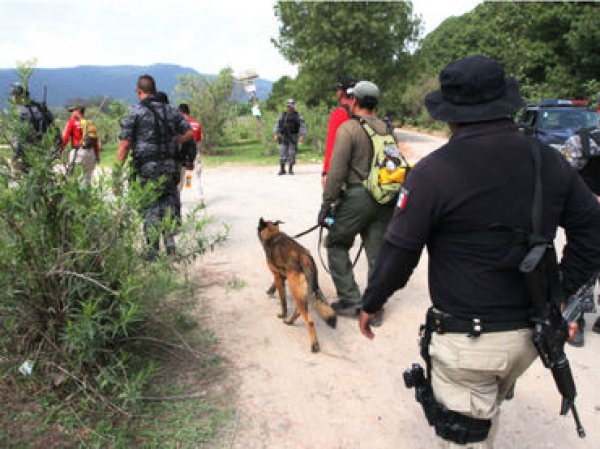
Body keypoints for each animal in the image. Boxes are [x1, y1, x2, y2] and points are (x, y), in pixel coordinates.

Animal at [255, 219, 336, 352]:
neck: (273, 234)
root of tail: (304, 257)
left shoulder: (277, 276)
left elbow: (283, 301)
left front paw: (282, 314)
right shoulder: (281, 275)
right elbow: (275, 286)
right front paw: (270, 290)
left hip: (295, 288)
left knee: (309, 320)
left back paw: (314, 344)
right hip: (301, 291)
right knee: (299, 309)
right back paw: (290, 321)